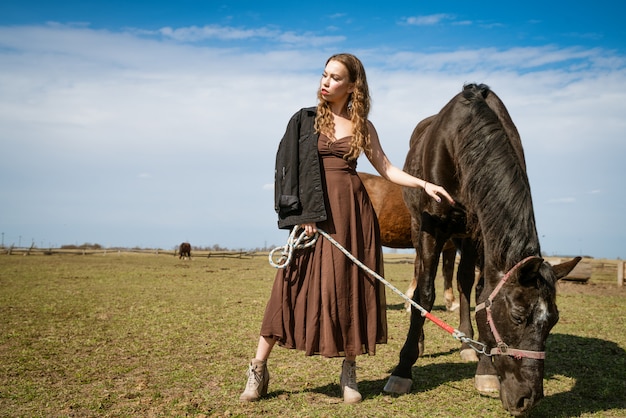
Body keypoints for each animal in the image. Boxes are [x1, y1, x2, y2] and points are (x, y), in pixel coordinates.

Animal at [380, 83, 580, 416]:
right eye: (517, 316)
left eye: (553, 320)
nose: (528, 399)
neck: (464, 137)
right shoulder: (432, 228)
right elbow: (425, 293)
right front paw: (402, 370)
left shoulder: (482, 235)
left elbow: (481, 294)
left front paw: (485, 371)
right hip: (419, 227)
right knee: (422, 274)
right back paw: (419, 341)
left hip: (466, 239)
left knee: (463, 281)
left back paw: (466, 344)